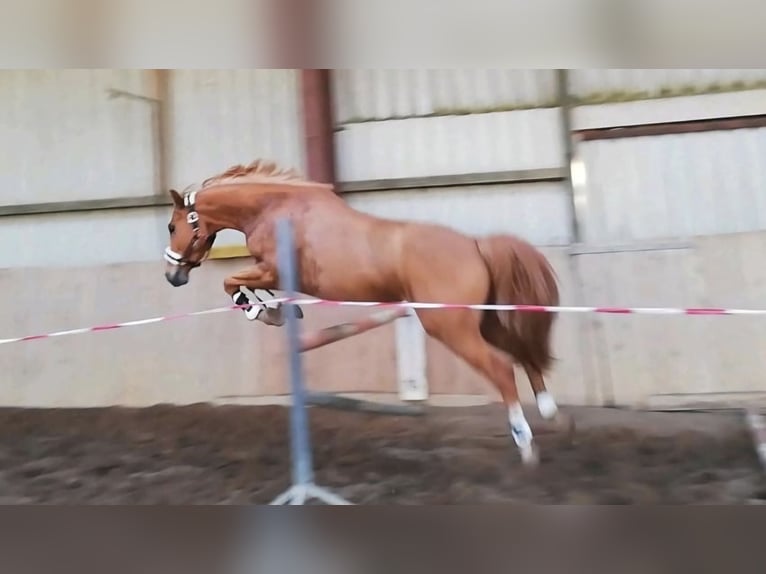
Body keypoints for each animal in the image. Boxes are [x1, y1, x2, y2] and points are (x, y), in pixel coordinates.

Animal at [163, 159, 565, 466]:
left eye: (171, 226)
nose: (172, 276)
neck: (274, 208)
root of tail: (475, 245)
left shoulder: (273, 269)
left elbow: (231, 282)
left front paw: (264, 310)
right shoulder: (271, 271)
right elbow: (242, 284)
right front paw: (272, 307)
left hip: (451, 327)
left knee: (501, 368)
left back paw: (524, 440)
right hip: (484, 320)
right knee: (524, 353)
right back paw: (549, 410)